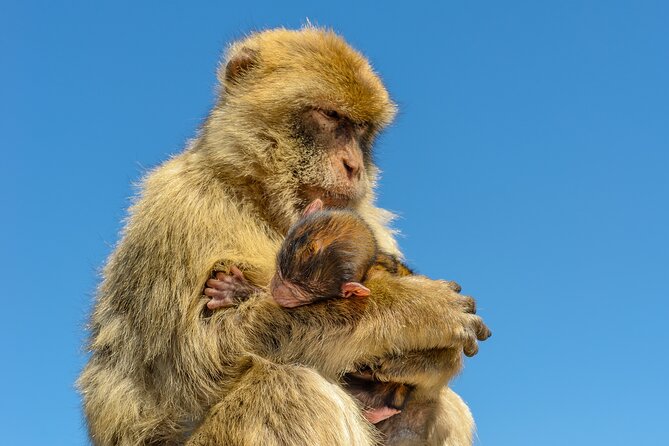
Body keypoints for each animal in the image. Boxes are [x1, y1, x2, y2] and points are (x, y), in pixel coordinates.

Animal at [78, 27, 490, 446]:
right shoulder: (177, 212)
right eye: (330, 116)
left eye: (360, 129)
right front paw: (418, 310)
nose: (354, 166)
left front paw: (425, 356)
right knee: (289, 385)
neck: (259, 196)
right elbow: (195, 370)